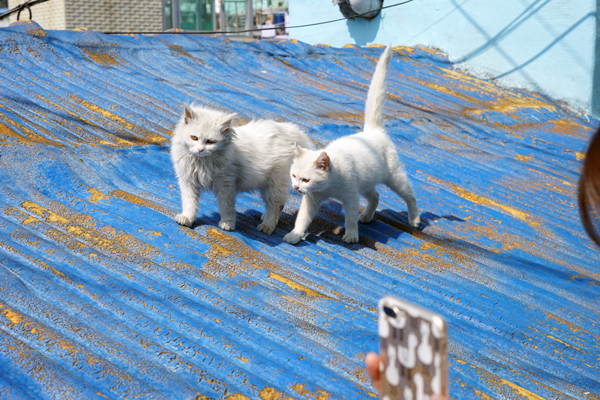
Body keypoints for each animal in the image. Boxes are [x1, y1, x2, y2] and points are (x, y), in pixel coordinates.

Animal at [170, 104, 314, 233]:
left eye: (210, 142)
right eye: (194, 138)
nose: (200, 150)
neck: (202, 162)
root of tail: (285, 130)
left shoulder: (226, 184)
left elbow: (226, 206)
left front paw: (227, 223)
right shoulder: (188, 181)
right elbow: (189, 203)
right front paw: (187, 219)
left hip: (273, 184)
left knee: (275, 205)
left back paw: (267, 226)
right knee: (279, 204)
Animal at [284, 43, 420, 244]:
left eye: (306, 179)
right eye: (293, 175)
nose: (296, 187)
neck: (329, 186)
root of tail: (372, 131)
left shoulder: (351, 197)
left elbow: (350, 217)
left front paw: (351, 235)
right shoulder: (312, 199)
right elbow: (302, 218)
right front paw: (295, 234)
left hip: (394, 177)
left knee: (410, 194)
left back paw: (415, 219)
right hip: (366, 182)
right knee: (376, 196)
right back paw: (367, 216)